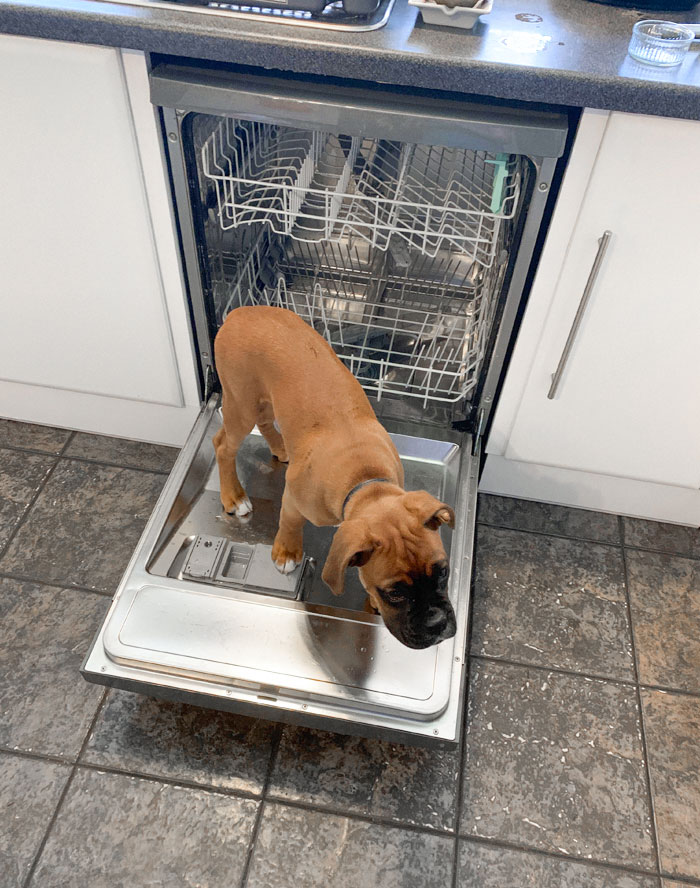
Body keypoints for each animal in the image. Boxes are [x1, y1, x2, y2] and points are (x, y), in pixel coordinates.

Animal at [213, 306, 456, 652]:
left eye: (443, 572)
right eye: (394, 593)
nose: (436, 624)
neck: (367, 480)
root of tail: (239, 312)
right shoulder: (294, 498)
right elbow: (289, 522)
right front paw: (287, 553)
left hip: (265, 400)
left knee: (265, 422)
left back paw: (281, 448)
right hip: (241, 403)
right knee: (223, 446)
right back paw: (234, 496)